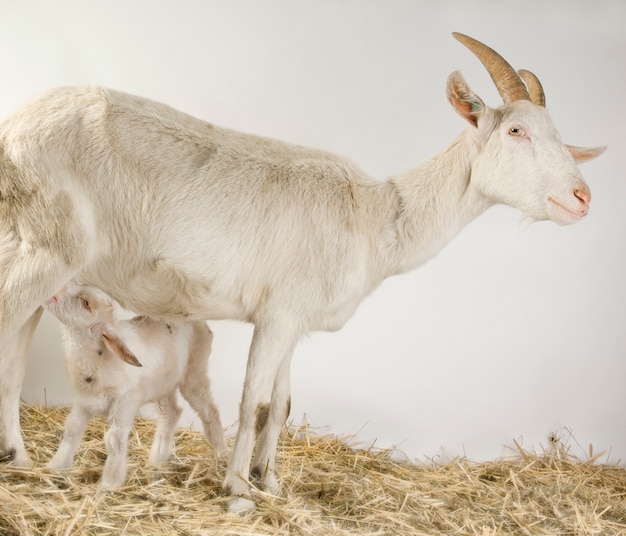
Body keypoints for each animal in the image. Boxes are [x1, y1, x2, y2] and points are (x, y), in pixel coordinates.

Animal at [40, 282, 224, 488]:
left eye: (86, 303)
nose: (54, 289)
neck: (99, 359)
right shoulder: (84, 401)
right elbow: (71, 429)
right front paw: (55, 466)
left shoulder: (125, 403)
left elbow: (114, 439)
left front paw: (109, 483)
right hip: (163, 385)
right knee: (171, 414)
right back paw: (156, 461)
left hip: (195, 372)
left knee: (210, 411)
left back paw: (221, 456)